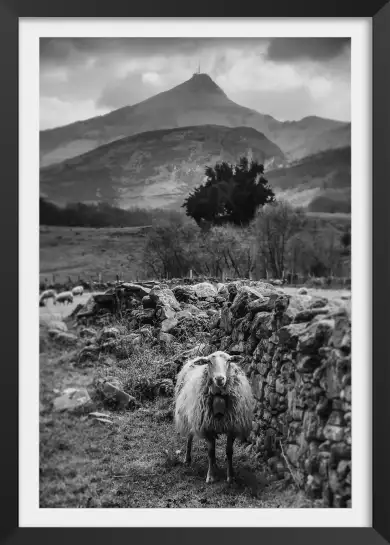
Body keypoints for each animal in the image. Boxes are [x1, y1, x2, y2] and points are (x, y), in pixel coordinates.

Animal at [174, 350, 254, 482]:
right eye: (209, 362)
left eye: (229, 360)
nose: (220, 378)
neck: (219, 396)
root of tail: (193, 359)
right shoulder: (207, 427)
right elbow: (210, 452)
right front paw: (210, 476)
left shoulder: (232, 427)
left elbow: (229, 452)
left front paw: (230, 476)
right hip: (190, 415)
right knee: (190, 436)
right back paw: (187, 459)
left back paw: (215, 464)